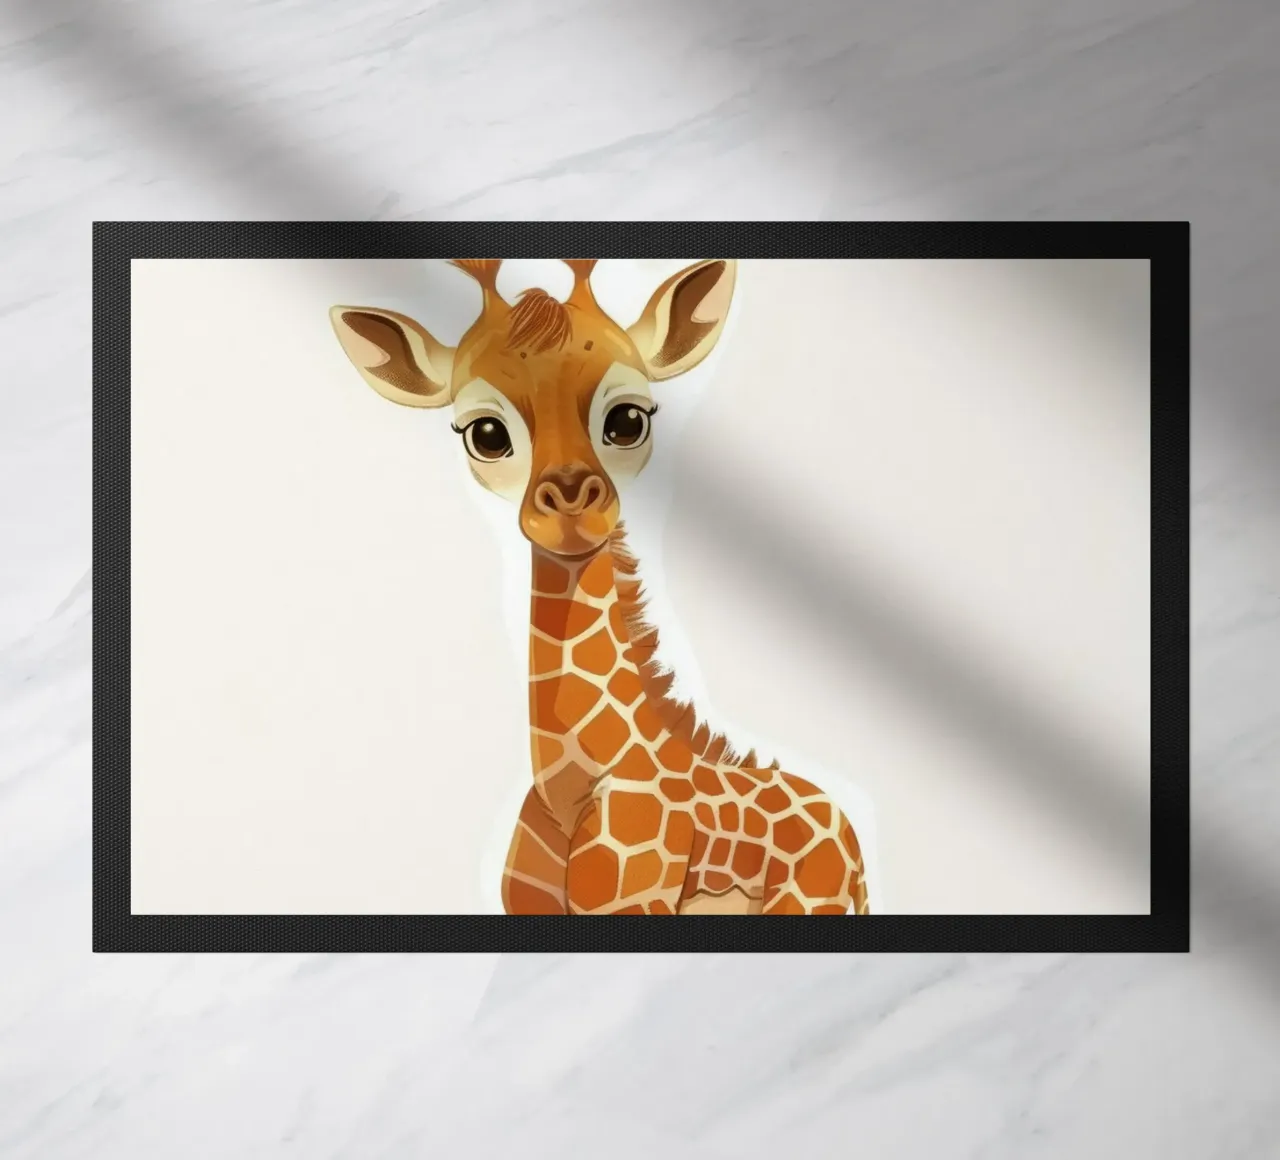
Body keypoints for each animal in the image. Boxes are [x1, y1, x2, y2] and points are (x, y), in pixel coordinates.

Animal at [330, 258, 869, 915]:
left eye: (629, 419)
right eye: (485, 433)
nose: (570, 504)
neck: (571, 785)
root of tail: (847, 827)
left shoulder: (631, 905)